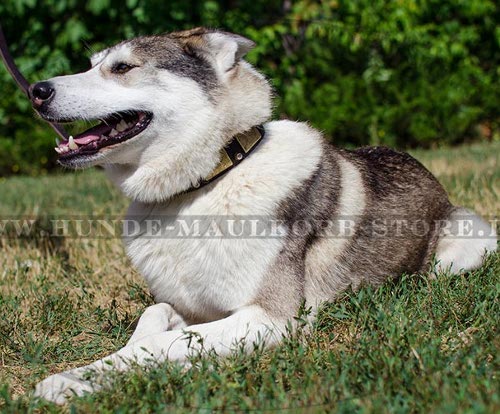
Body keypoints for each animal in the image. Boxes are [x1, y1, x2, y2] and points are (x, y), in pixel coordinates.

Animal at [29, 27, 498, 402]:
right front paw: (76, 378)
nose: (36, 90)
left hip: (464, 244)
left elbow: (164, 343)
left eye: (122, 67)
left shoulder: (270, 319)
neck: (203, 186)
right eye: (91, 65)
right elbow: (152, 320)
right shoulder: (192, 307)